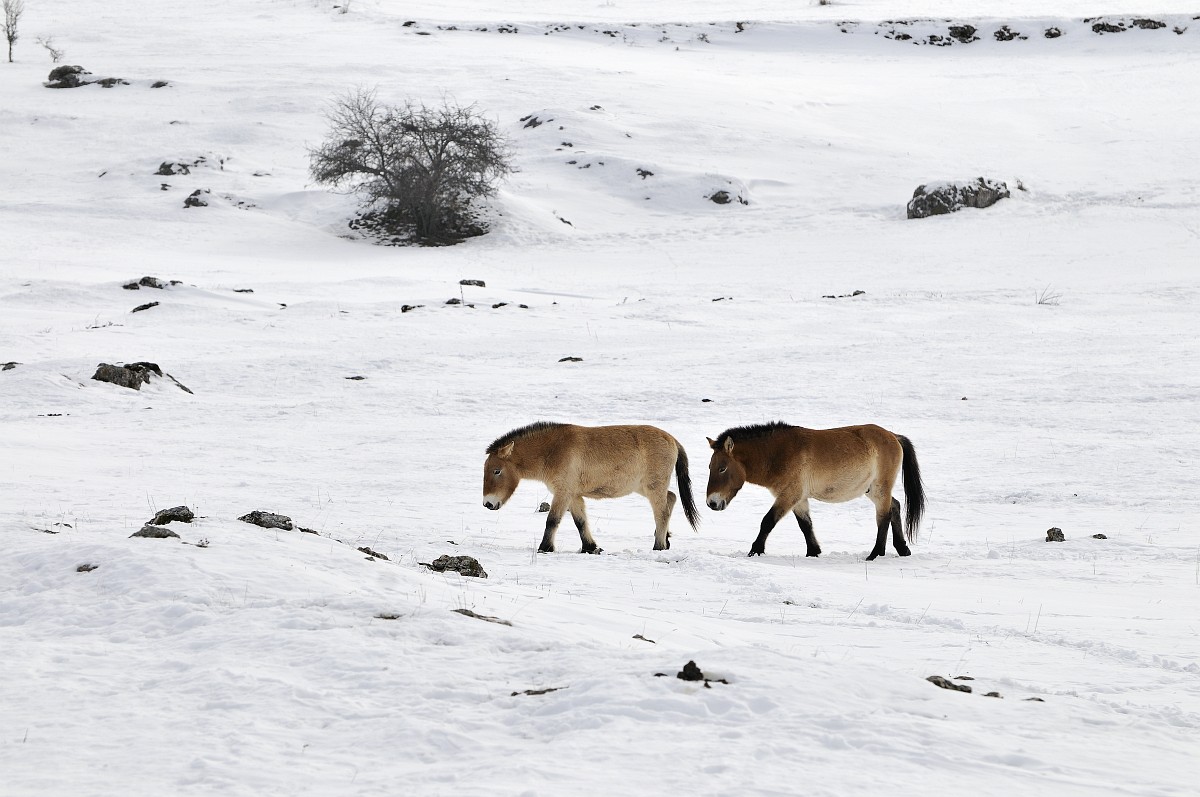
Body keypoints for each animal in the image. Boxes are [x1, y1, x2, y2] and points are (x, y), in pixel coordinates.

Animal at [482, 421, 700, 554]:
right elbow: (580, 522)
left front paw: (545, 548)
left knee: (662, 512)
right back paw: (665, 541)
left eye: (496, 471)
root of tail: (672, 439)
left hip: (653, 487)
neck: (553, 449)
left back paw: (659, 546)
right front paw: (591, 547)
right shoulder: (573, 495)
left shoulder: (563, 493)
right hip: (645, 487)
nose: (488, 504)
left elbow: (552, 521)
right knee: (671, 499)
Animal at [704, 422, 925, 560]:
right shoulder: (798, 499)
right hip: (872, 490)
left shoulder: (789, 495)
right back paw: (902, 549)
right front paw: (813, 552)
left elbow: (767, 522)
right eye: (710, 466)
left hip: (880, 489)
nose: (711, 503)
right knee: (895, 506)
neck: (778, 454)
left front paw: (754, 551)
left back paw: (874, 555)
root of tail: (894, 436)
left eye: (722, 468)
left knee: (883, 517)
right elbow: (805, 525)